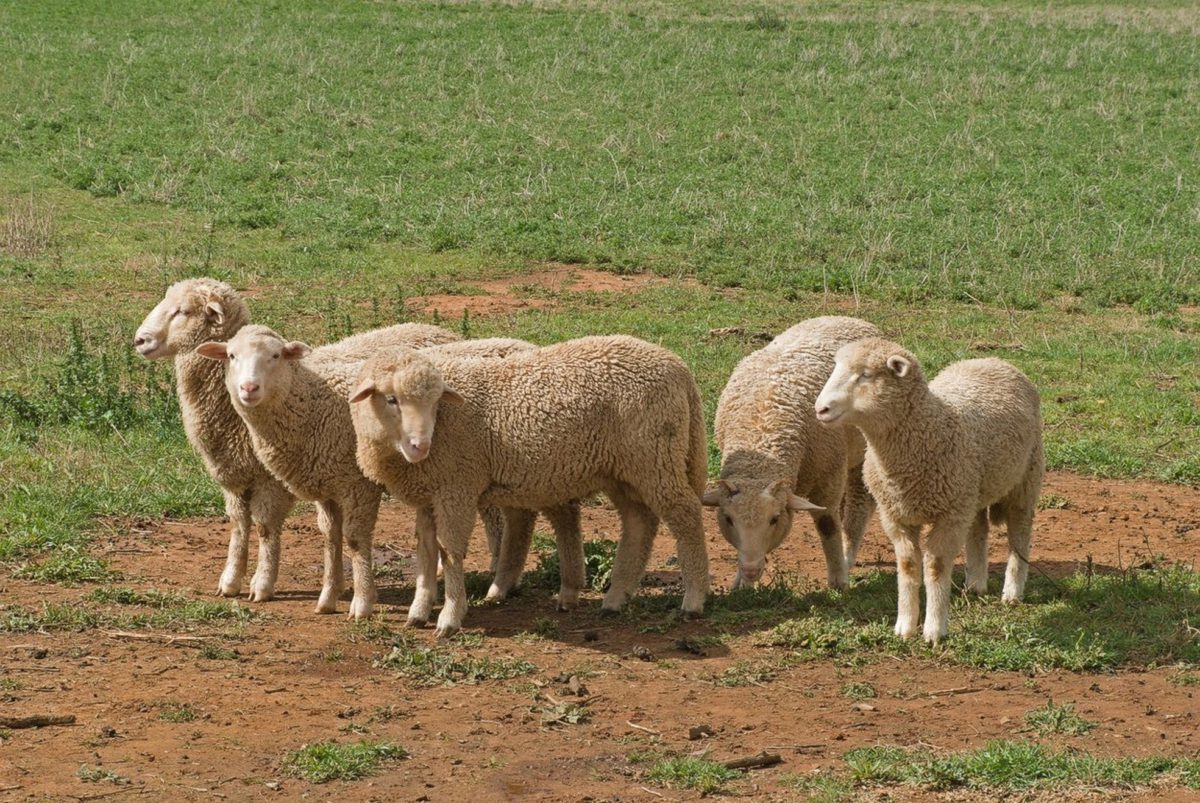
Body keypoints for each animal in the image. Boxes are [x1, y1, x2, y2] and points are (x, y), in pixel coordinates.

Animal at [133, 278, 295, 597]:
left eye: (182, 311)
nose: (139, 341)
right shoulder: (234, 475)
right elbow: (239, 524)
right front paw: (230, 580)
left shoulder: (271, 480)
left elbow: (265, 527)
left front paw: (262, 584)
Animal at [196, 321, 458, 619]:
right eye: (231, 356)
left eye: (275, 355)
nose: (249, 388)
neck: (312, 405)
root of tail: (435, 328)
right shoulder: (327, 486)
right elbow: (330, 537)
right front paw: (329, 596)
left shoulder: (359, 485)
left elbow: (354, 538)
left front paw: (362, 602)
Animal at [350, 336, 710, 633]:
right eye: (391, 399)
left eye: (437, 401)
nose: (420, 446)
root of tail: (678, 367)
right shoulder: (430, 495)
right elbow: (426, 552)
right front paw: (418, 611)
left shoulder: (457, 487)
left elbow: (450, 551)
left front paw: (450, 617)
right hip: (623, 470)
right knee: (639, 523)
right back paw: (615, 599)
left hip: (654, 457)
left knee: (686, 515)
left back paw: (693, 600)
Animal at [700, 314, 883, 588]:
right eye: (728, 519)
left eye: (775, 518)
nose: (751, 570)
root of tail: (847, 318)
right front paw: (741, 585)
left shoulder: (828, 477)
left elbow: (827, 524)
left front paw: (838, 580)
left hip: (861, 454)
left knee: (859, 504)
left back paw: (847, 553)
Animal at [811, 338, 1046, 643]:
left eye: (865, 374)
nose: (820, 409)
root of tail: (994, 360)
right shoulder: (896, 516)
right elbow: (908, 566)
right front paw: (904, 626)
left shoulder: (948, 517)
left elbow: (936, 567)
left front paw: (934, 630)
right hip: (971, 491)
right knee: (978, 529)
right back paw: (976, 583)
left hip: (1025, 478)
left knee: (1019, 533)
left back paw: (1012, 591)